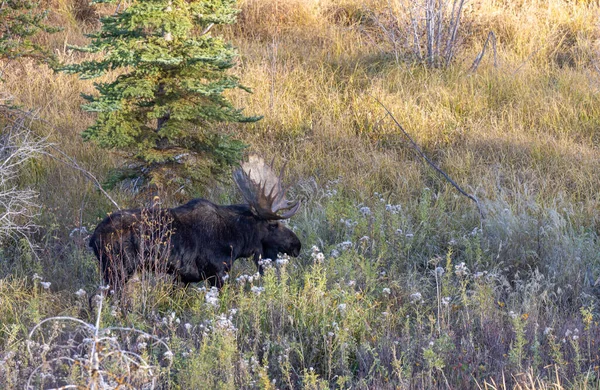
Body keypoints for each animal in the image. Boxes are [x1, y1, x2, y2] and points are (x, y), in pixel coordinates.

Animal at [89, 155, 302, 292]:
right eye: (273, 225)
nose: (297, 245)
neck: (237, 239)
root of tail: (92, 239)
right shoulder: (217, 273)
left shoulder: (182, 278)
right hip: (118, 270)